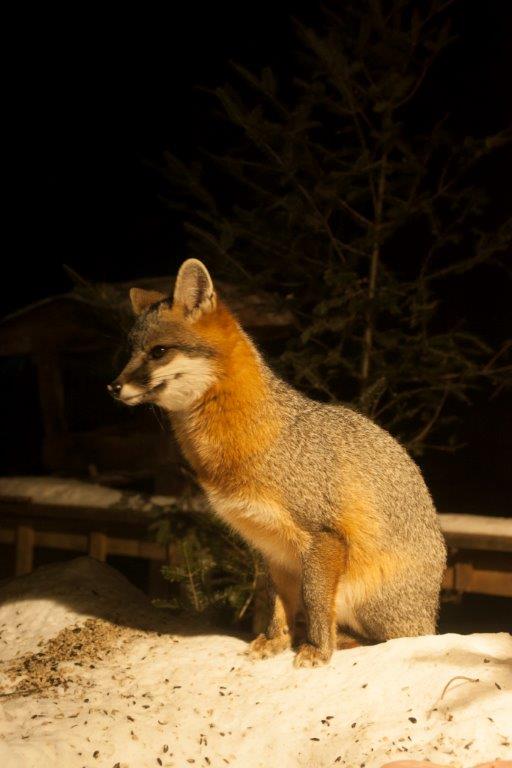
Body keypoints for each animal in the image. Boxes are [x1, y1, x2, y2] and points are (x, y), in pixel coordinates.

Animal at [109, 258, 447, 667]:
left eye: (158, 351)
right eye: (129, 353)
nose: (112, 386)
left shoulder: (322, 535)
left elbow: (315, 603)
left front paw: (317, 650)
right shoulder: (269, 547)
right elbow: (275, 605)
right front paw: (274, 642)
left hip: (373, 603)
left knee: (390, 640)